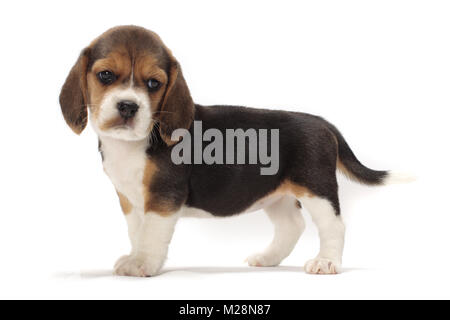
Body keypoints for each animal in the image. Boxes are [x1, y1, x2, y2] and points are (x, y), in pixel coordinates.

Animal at [58, 25, 406, 276]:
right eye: (105, 75)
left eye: (154, 83)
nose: (128, 106)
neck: (133, 142)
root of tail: (322, 123)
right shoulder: (130, 200)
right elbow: (136, 231)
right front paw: (135, 255)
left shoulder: (163, 198)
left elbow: (152, 234)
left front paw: (143, 263)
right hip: (276, 195)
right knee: (292, 225)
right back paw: (268, 258)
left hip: (316, 188)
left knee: (334, 225)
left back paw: (326, 262)